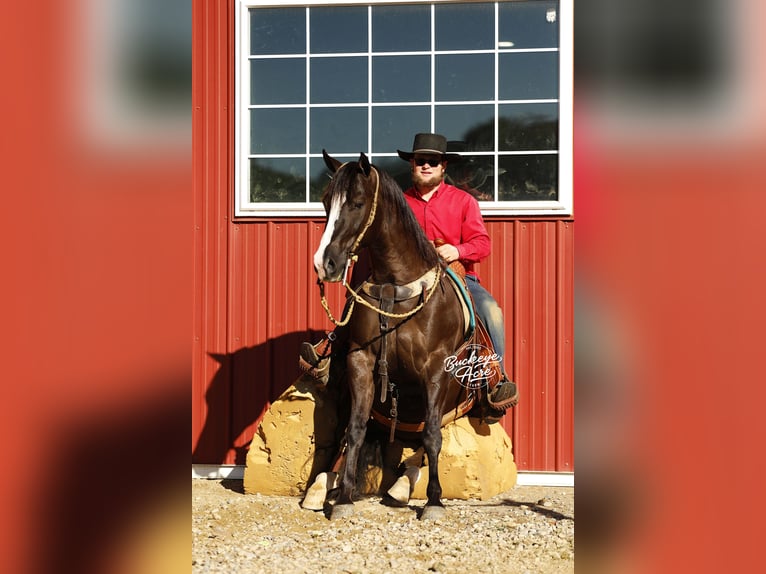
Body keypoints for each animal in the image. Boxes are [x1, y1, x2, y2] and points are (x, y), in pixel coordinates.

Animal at [311, 150, 478, 521]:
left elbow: (432, 435)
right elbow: (356, 428)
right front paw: (344, 496)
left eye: (357, 203)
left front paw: (433, 501)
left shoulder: (437, 369)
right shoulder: (360, 360)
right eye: (326, 202)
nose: (324, 264)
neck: (396, 284)